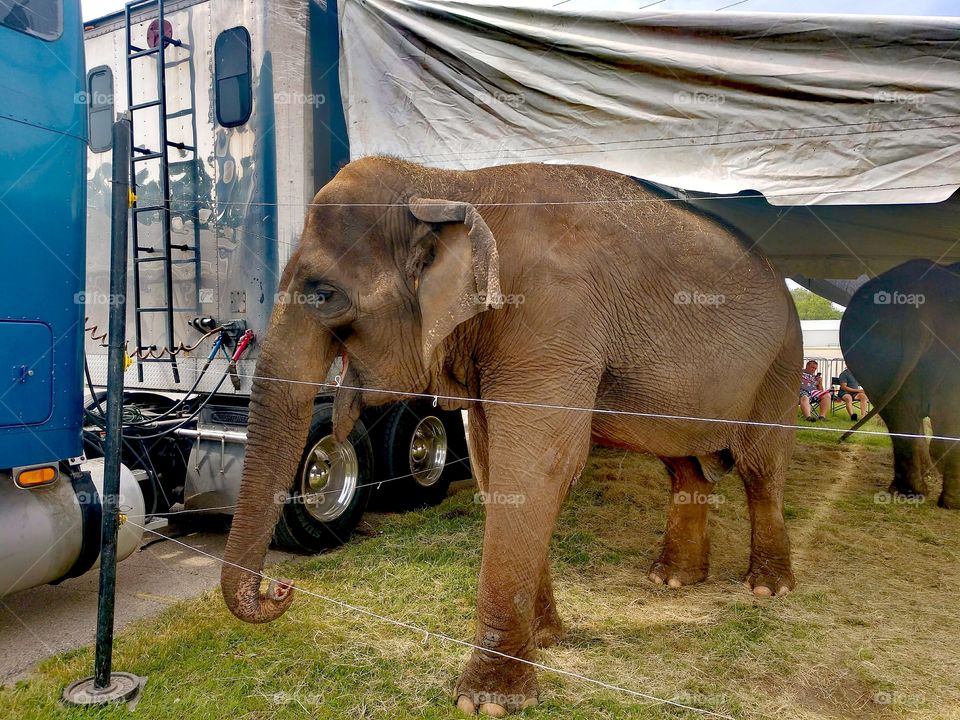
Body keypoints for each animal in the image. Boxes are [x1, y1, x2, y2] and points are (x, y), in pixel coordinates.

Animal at [220, 157, 802, 716]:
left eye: (324, 295)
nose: (282, 588)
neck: (448, 183)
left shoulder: (553, 317)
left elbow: (537, 463)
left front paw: (489, 700)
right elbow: (490, 461)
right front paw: (545, 641)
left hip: (782, 363)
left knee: (760, 466)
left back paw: (766, 589)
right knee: (681, 462)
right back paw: (673, 580)